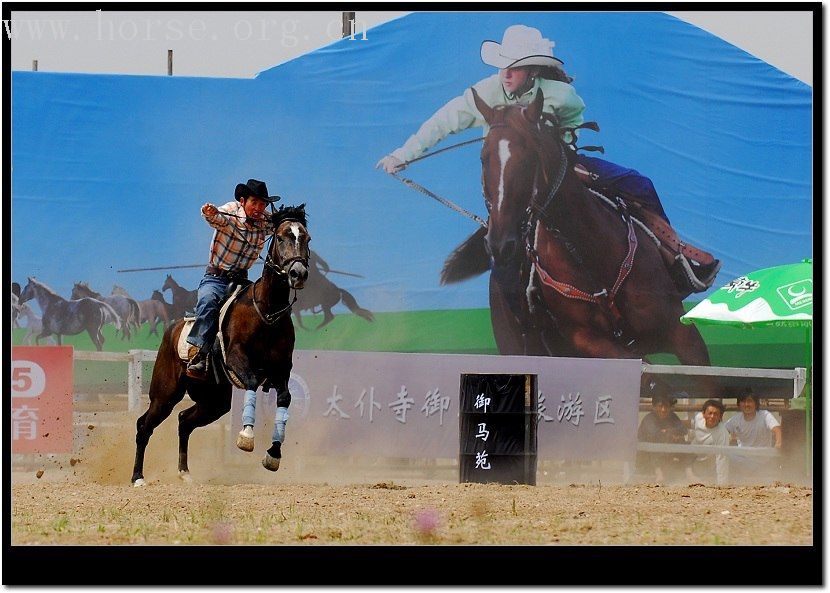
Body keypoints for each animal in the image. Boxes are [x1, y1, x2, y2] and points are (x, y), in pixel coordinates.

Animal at [130, 206, 312, 484]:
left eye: (307, 238)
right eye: (282, 237)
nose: (298, 273)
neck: (266, 312)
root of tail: (171, 330)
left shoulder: (281, 370)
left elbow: (285, 397)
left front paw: (273, 454)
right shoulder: (237, 358)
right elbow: (251, 382)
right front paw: (246, 437)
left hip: (214, 400)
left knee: (184, 420)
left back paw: (184, 472)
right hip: (165, 393)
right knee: (144, 425)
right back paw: (138, 477)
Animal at [468, 89, 716, 366]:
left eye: (530, 155)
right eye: (483, 158)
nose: (500, 244)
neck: (588, 253)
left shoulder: (683, 333)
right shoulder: (588, 341)